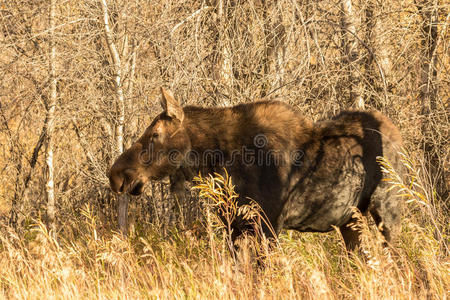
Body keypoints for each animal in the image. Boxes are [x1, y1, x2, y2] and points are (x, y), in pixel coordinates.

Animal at [107, 87, 402, 251]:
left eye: (155, 134)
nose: (116, 174)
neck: (218, 163)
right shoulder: (234, 226)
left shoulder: (268, 224)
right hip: (350, 219)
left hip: (387, 209)